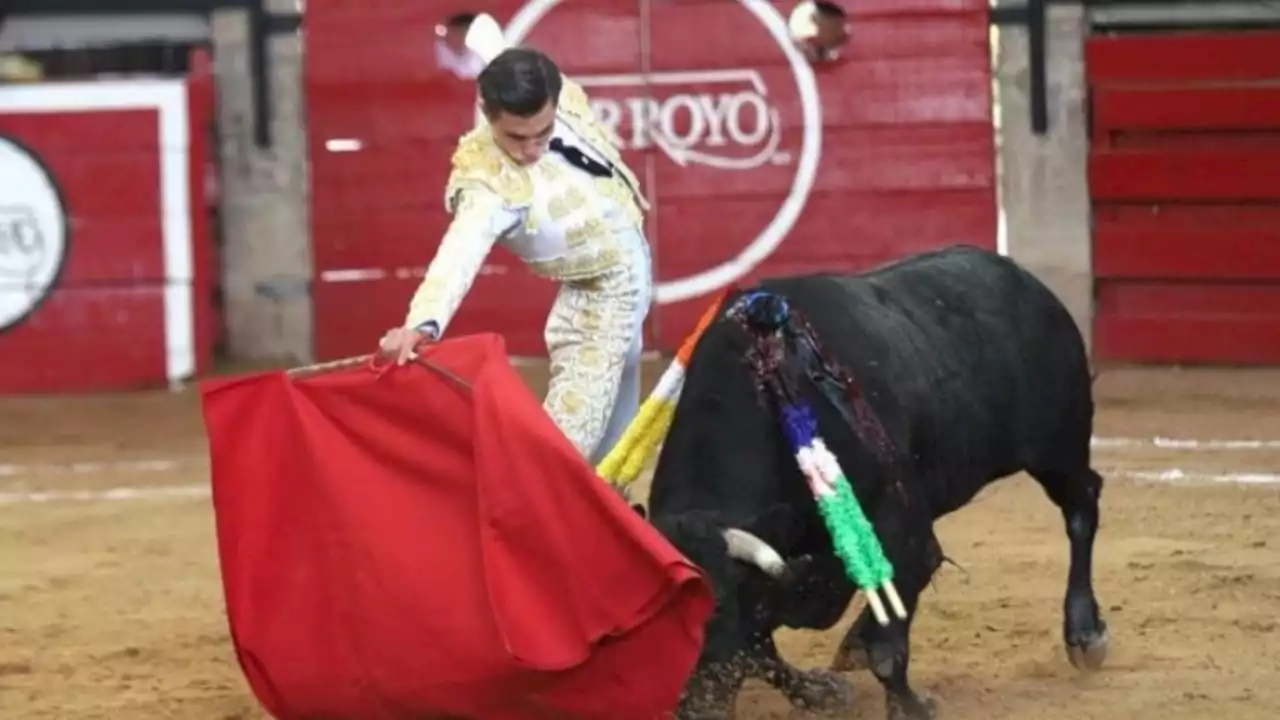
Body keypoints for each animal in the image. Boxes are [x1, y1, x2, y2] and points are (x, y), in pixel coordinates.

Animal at [645, 244, 1105, 717]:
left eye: (715, 606)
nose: (689, 708)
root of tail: (1028, 283)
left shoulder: (901, 531)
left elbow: (889, 638)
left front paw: (910, 706)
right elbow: (760, 650)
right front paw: (823, 690)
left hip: (1059, 446)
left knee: (1081, 508)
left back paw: (1085, 633)